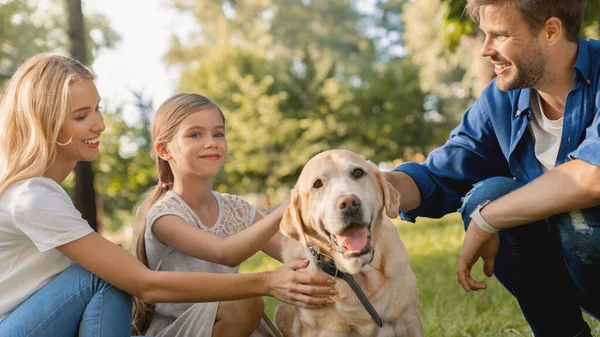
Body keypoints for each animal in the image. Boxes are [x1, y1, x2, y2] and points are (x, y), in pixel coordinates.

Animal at [274, 150, 424, 336]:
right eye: (317, 184)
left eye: (358, 172)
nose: (349, 203)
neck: (358, 272)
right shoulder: (329, 330)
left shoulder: (409, 318)